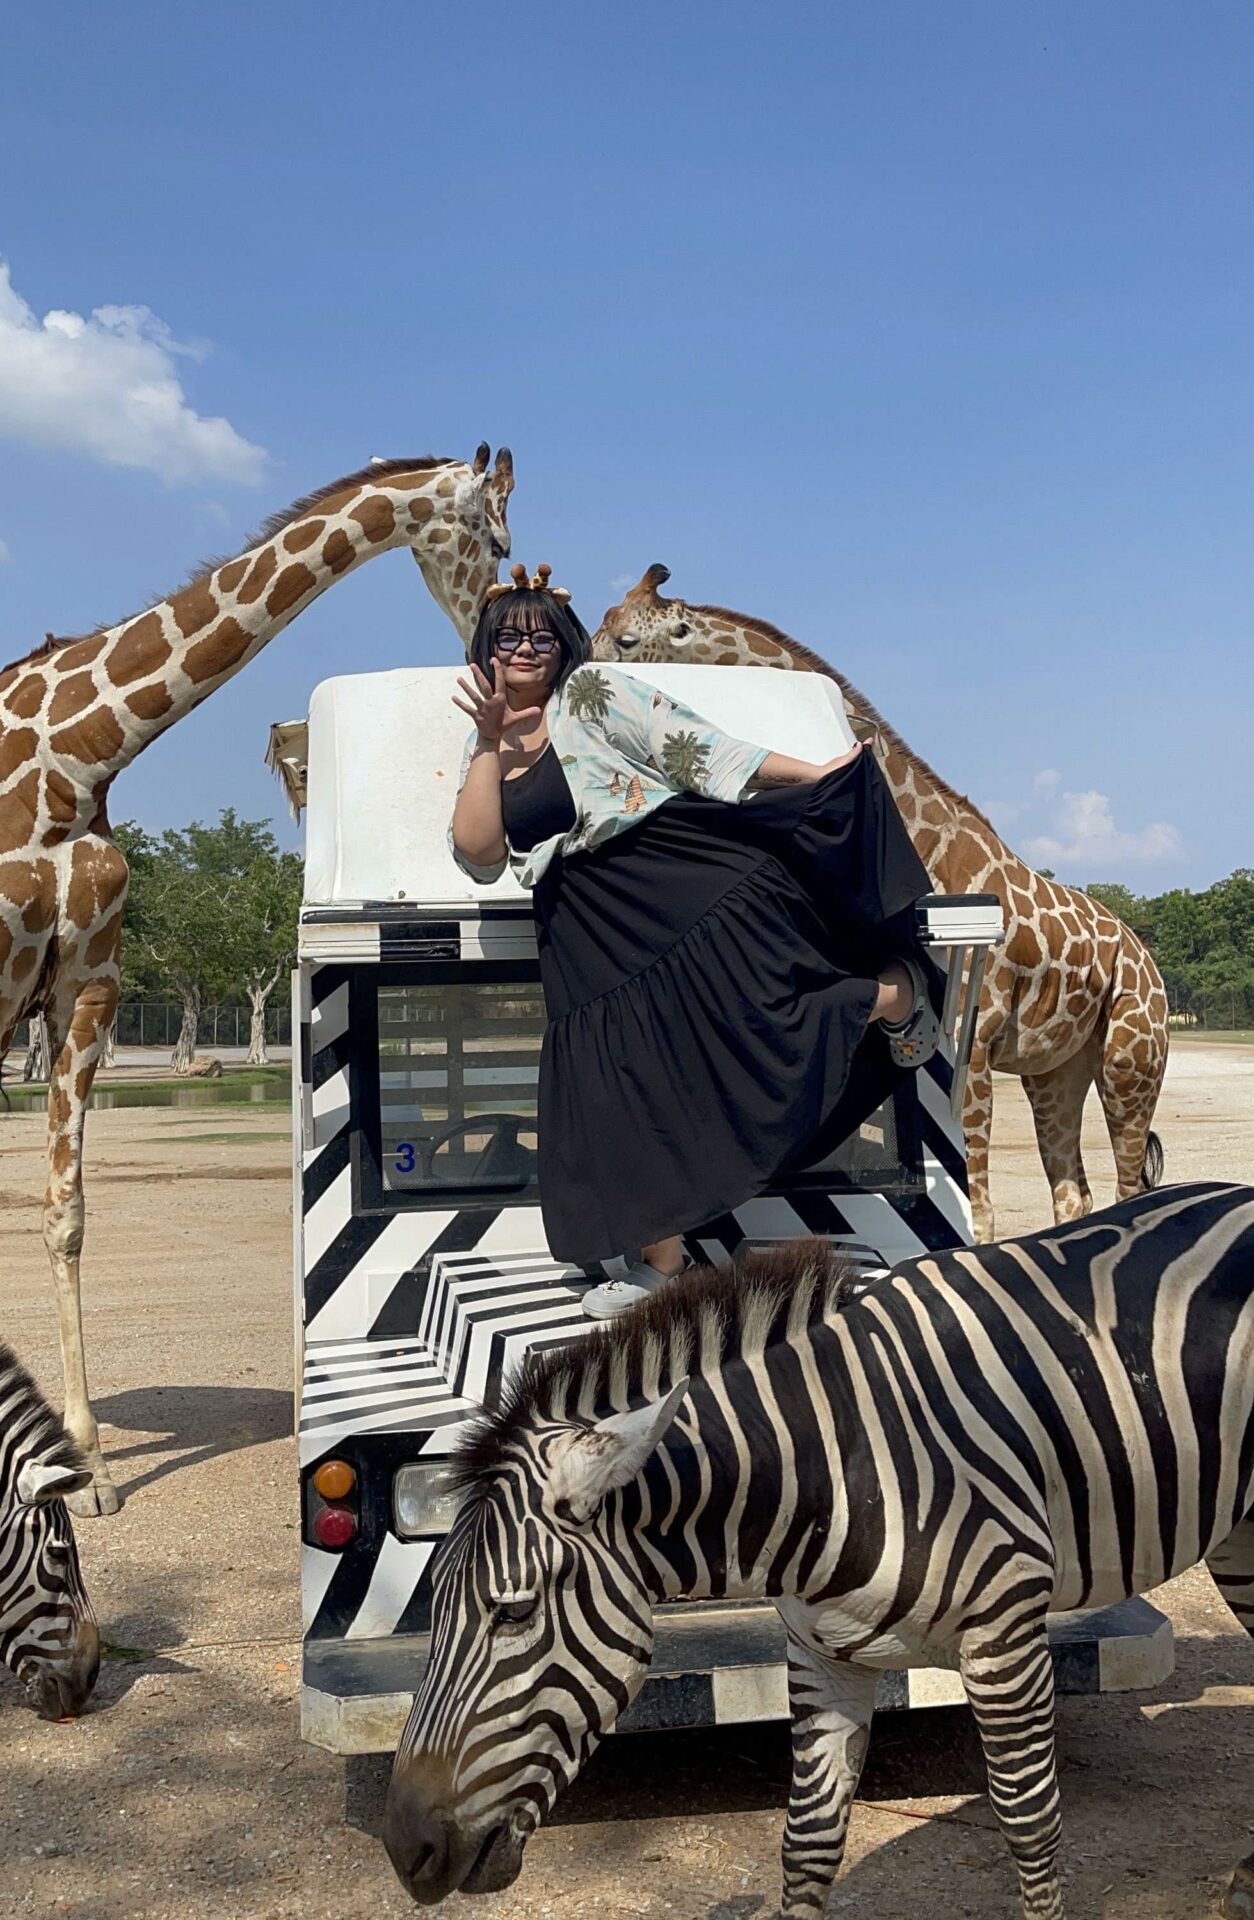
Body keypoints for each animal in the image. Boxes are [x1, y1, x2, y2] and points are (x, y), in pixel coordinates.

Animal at [0, 441, 510, 1505]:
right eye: (494, 538)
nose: (489, 646)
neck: (71, 750)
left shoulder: (83, 984)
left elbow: (66, 1215)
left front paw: (92, 1465)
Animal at [382, 1175, 1252, 1920]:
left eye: (514, 1613)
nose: (404, 1851)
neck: (829, 1468)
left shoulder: (1004, 1641)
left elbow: (1030, 1829)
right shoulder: (821, 1656)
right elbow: (807, 1843)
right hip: (1241, 1532)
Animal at [591, 560, 1167, 1244]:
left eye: (627, 640)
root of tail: (1149, 961)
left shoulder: (970, 1042)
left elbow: (979, 1214)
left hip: (1131, 1059)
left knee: (1130, 1188)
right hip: (1057, 1069)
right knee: (1074, 1194)